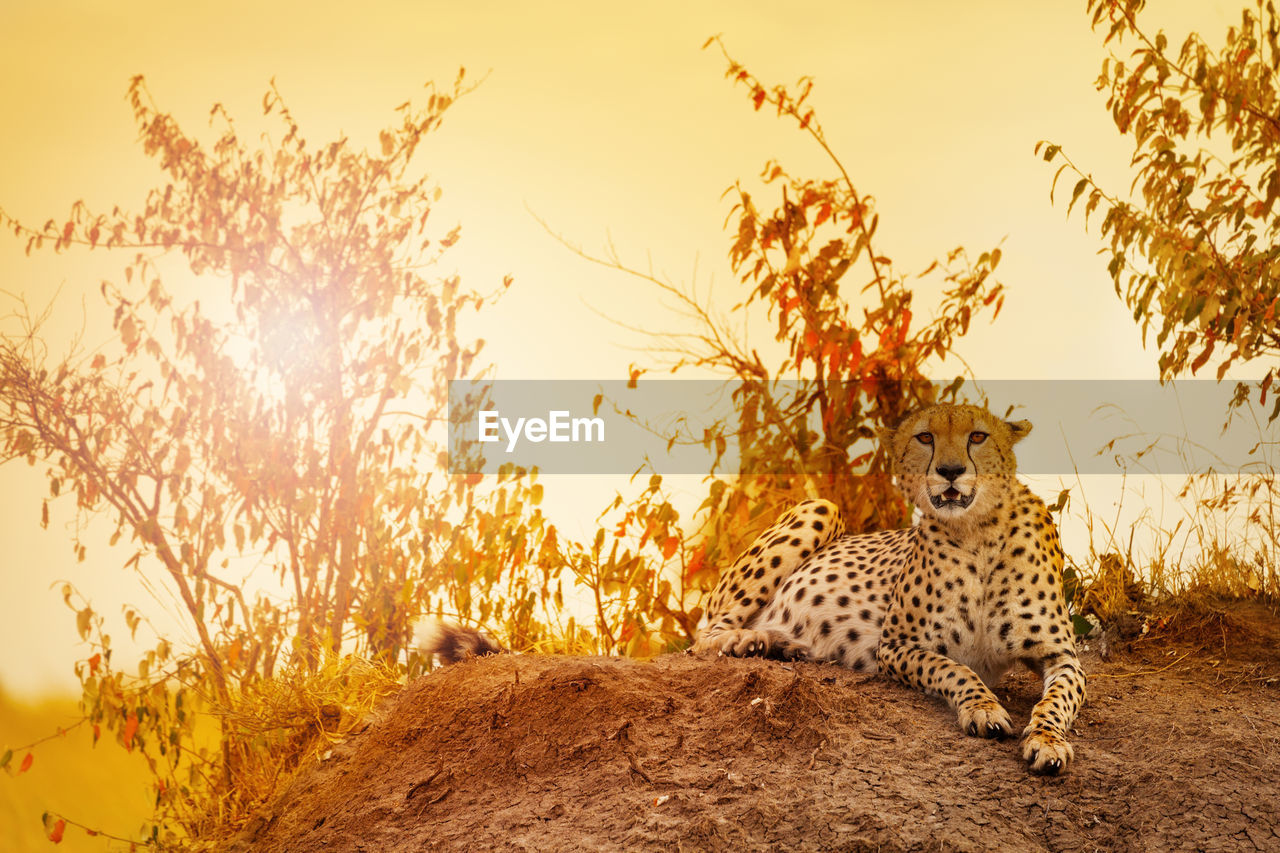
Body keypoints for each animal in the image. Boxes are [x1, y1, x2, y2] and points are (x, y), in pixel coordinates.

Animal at [696, 402, 1085, 773]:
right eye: (925, 437)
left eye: (977, 436)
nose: (950, 470)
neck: (979, 531)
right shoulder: (896, 646)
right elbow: (954, 669)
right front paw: (983, 708)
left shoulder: (1061, 654)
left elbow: (1060, 698)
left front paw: (1048, 741)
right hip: (822, 507)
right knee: (704, 636)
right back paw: (745, 640)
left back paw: (782, 645)